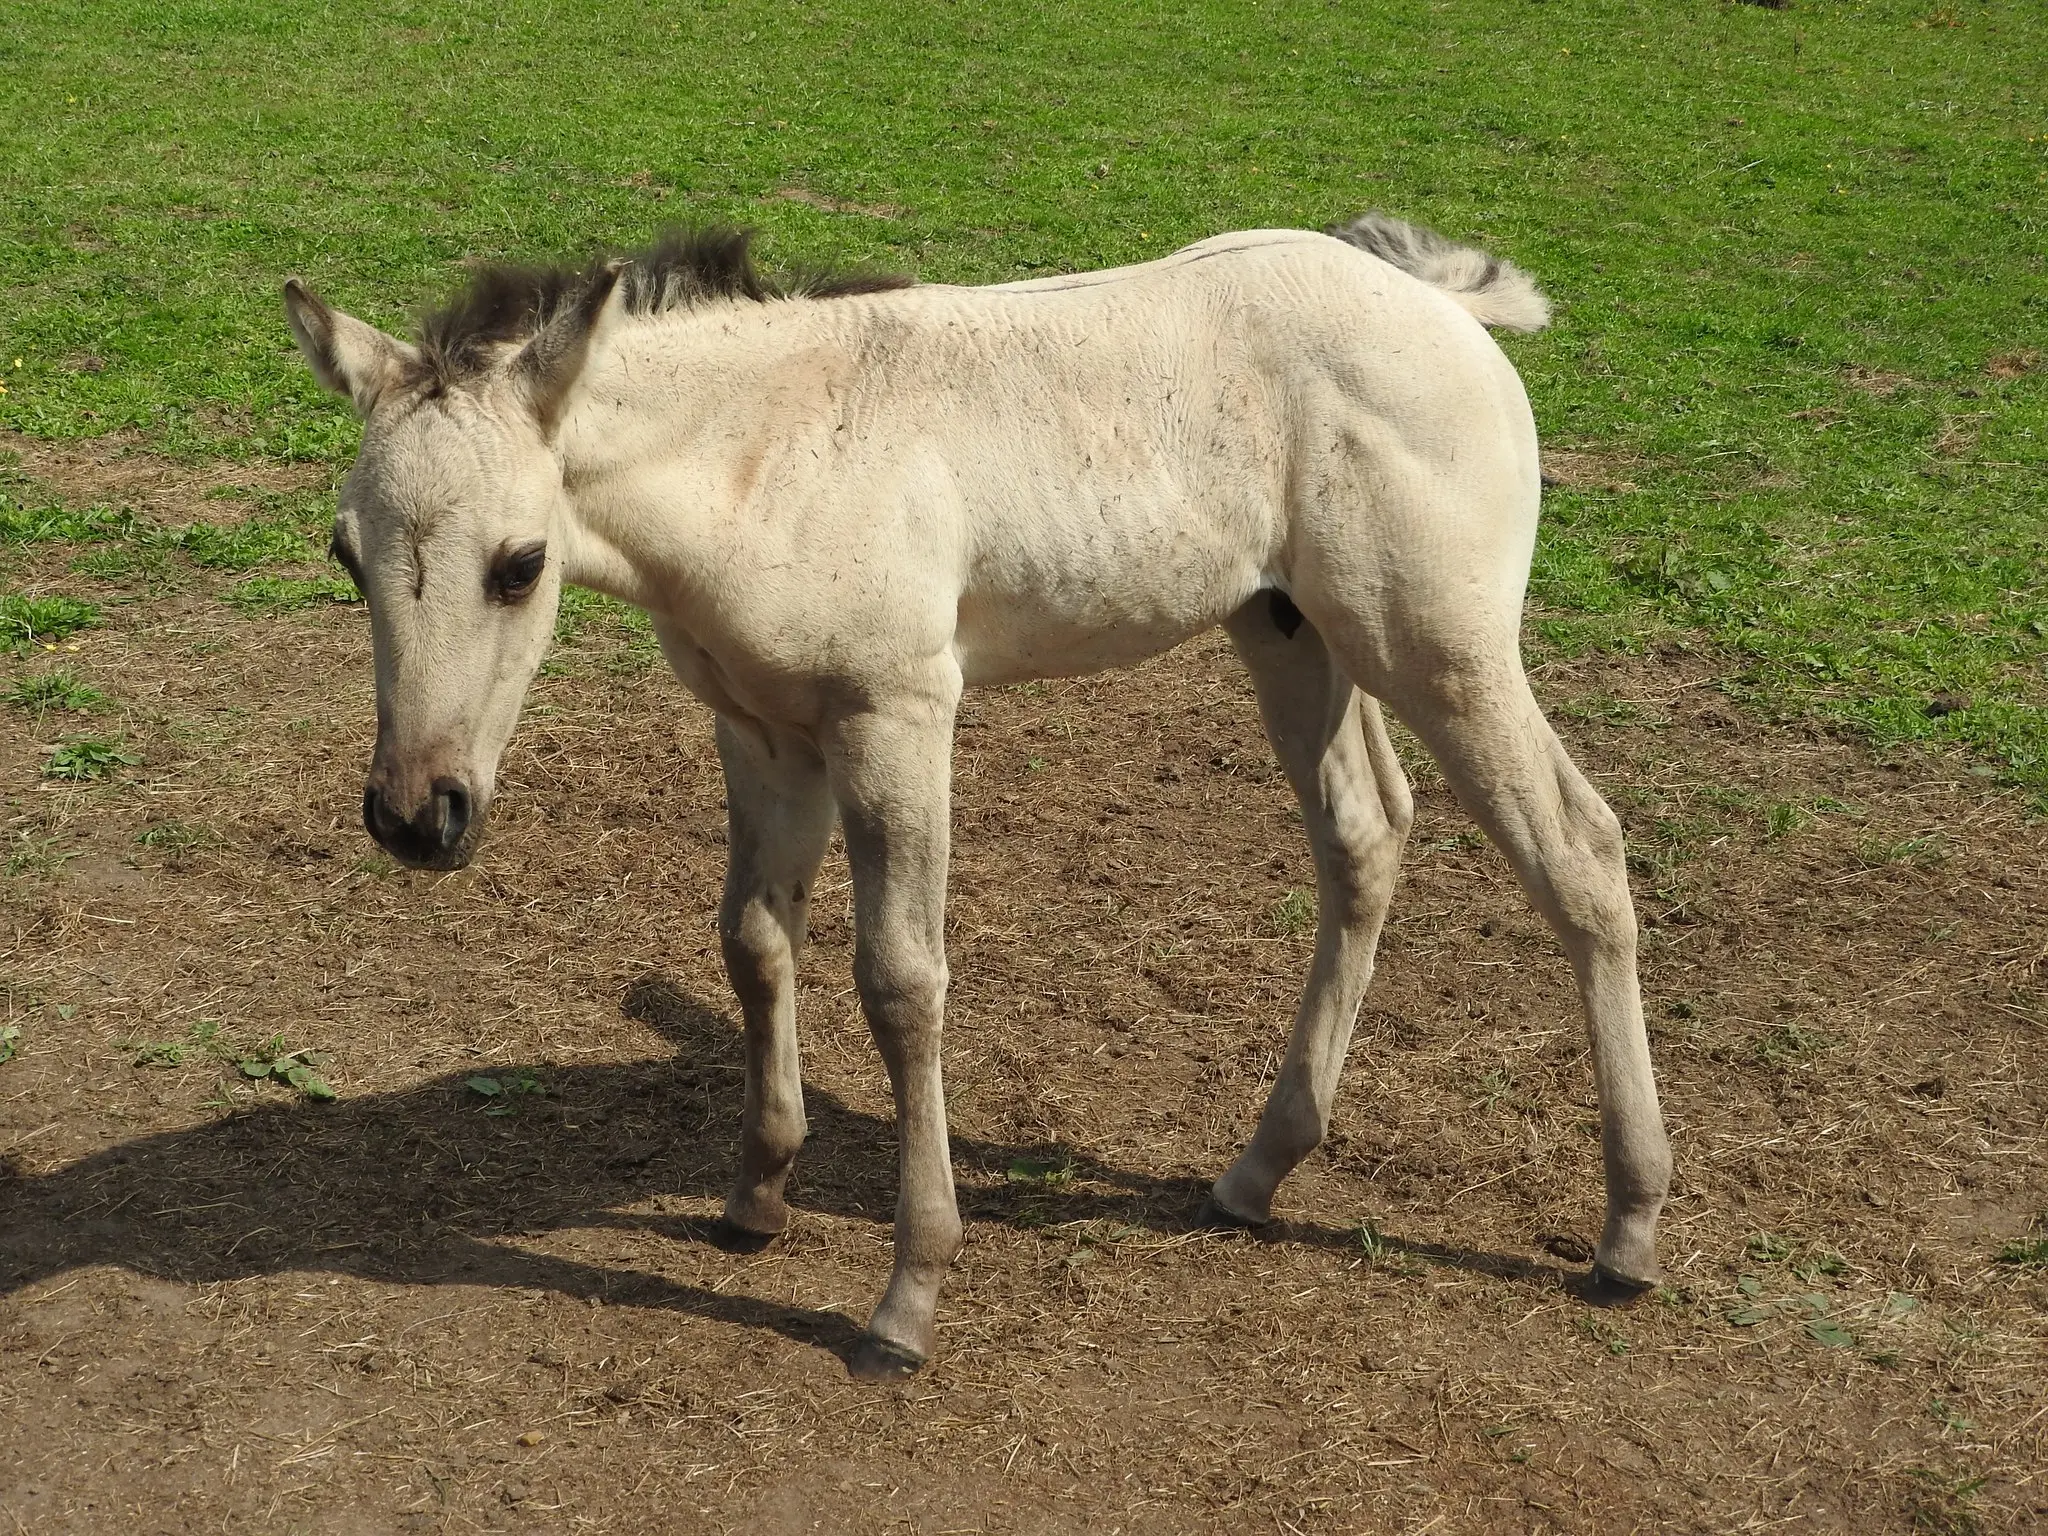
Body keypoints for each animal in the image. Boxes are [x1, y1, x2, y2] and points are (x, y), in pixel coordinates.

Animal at [284, 217, 1662, 1384]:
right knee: (1363, 835)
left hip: (1435, 645)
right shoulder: (762, 731)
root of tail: (1438, 306)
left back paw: (1628, 1231)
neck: (765, 456)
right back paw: (1256, 1169)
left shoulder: (895, 716)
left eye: (519, 565)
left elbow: (900, 983)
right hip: (1292, 632)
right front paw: (757, 1196)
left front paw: (908, 1299)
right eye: (346, 554)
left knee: (1580, 852)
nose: (415, 816)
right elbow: (753, 942)